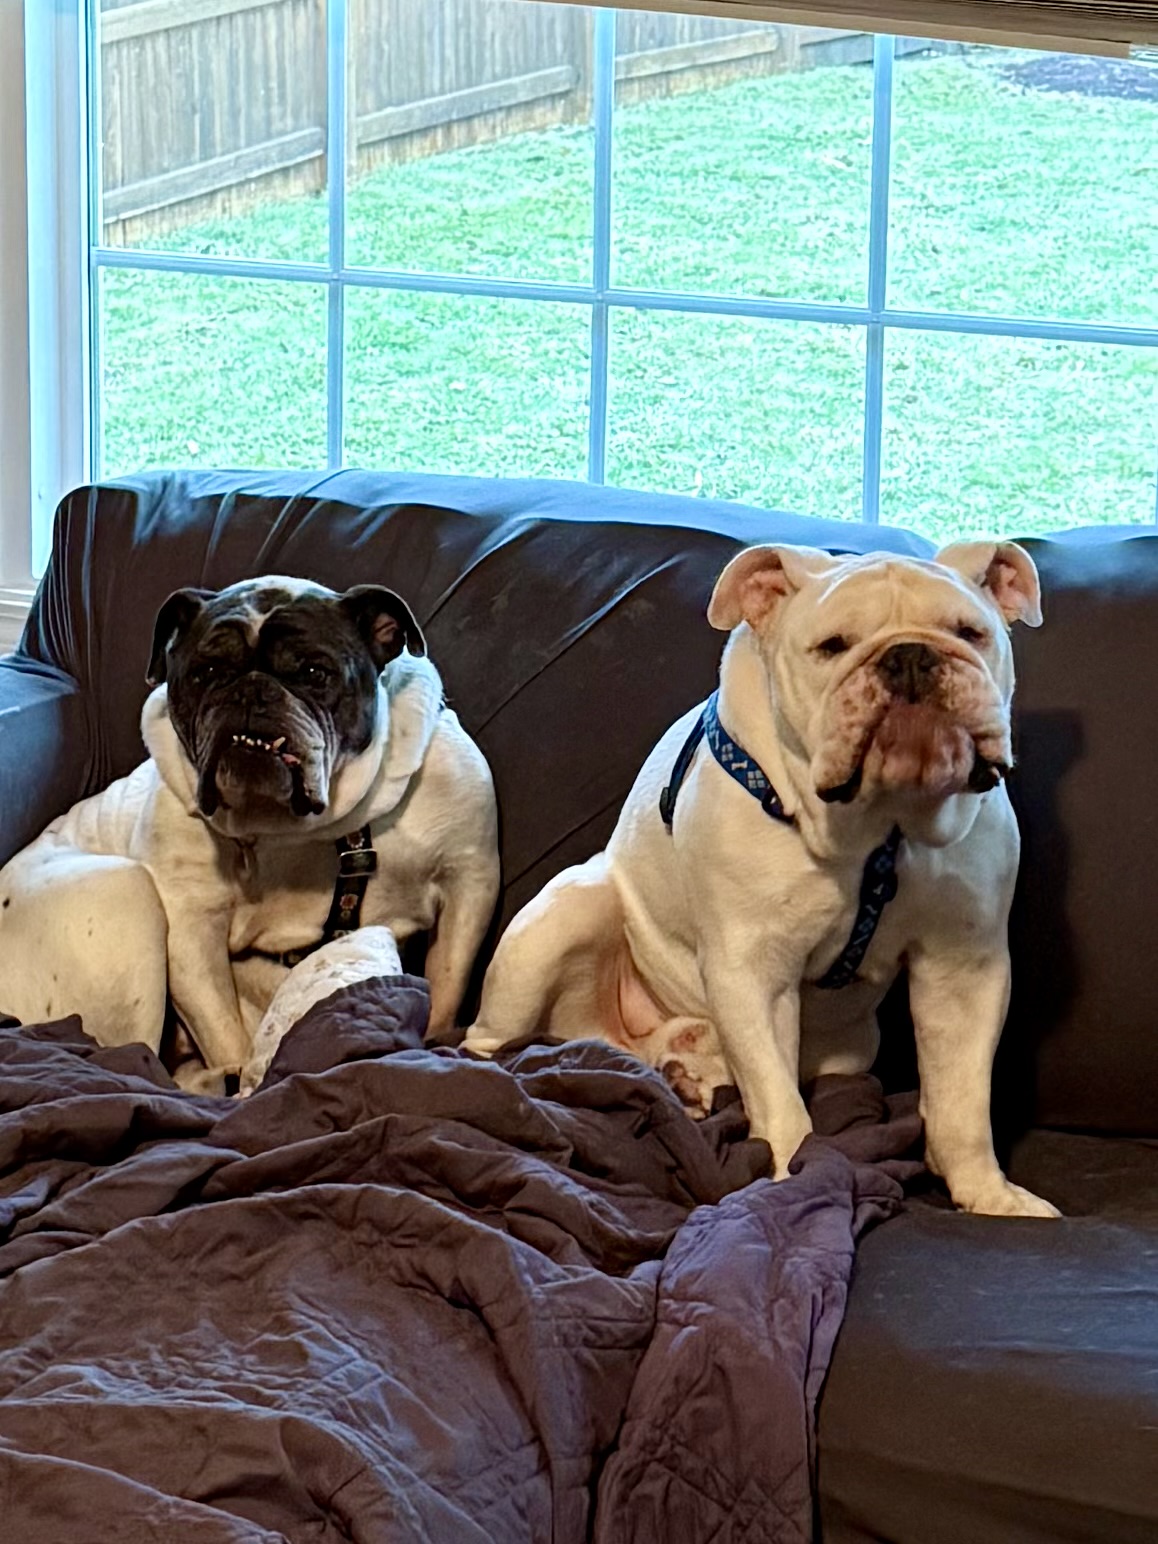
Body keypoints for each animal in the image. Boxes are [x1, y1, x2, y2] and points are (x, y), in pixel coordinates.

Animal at [0, 577, 499, 1088]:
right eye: (205, 672)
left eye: (315, 672)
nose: (250, 690)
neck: (308, 829)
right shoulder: (192, 935)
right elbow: (225, 1033)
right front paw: (240, 1076)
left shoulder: (470, 878)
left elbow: (449, 981)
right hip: (126, 893)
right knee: (133, 1054)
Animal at [466, 540, 1058, 1218]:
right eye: (832, 646)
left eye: (969, 634)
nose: (909, 656)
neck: (880, 825)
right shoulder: (755, 970)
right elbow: (781, 1102)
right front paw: (794, 1180)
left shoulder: (964, 968)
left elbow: (961, 1100)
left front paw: (988, 1195)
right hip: (563, 921)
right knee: (494, 1041)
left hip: (846, 1050)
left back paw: (687, 1073)